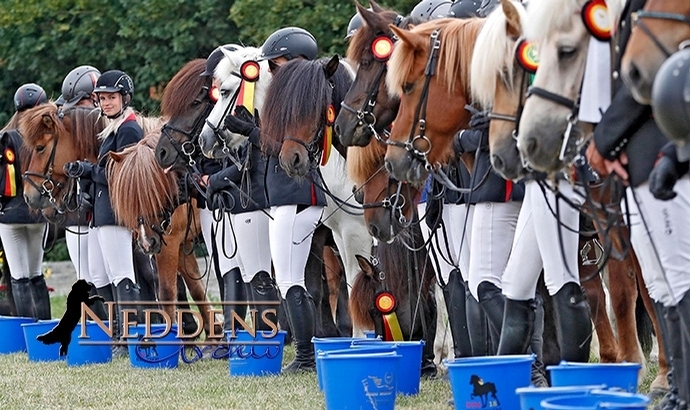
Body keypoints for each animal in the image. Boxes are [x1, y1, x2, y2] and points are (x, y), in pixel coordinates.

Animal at [470, 0, 664, 390]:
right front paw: (614, 361)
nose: (502, 155)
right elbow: (599, 294)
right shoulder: (591, 223)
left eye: (512, 71)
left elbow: (631, 290)